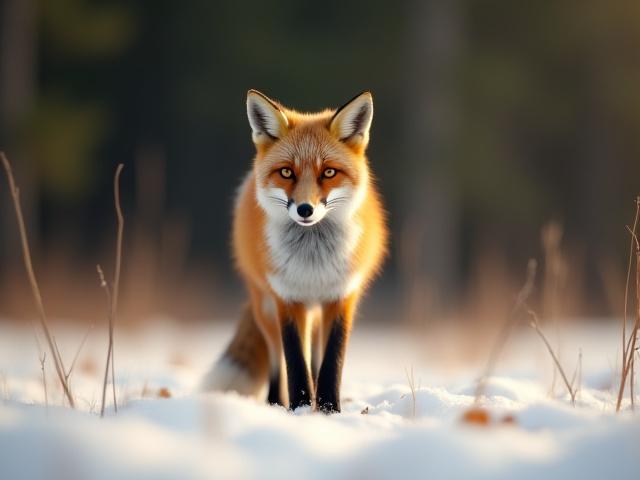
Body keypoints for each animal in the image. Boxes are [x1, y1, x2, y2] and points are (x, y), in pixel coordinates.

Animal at [202, 90, 387, 413]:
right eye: (287, 172)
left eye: (329, 172)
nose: (305, 209)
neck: (312, 262)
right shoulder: (286, 298)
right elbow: (294, 363)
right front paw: (300, 407)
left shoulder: (341, 298)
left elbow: (331, 363)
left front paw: (328, 410)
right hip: (265, 310)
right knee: (277, 360)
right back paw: (277, 404)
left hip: (314, 313)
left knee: (315, 358)